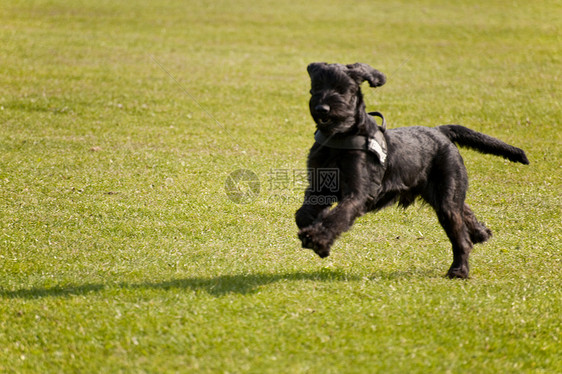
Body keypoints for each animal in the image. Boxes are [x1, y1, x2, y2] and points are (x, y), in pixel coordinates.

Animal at [296, 62, 528, 278]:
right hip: (442, 194)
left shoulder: (358, 193)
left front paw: (318, 239)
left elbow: (339, 216)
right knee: (464, 212)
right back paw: (481, 233)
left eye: (342, 89)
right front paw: (313, 225)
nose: (322, 108)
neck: (338, 138)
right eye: (316, 86)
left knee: (460, 237)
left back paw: (459, 270)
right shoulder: (319, 186)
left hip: (446, 199)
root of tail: (440, 132)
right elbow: (303, 213)